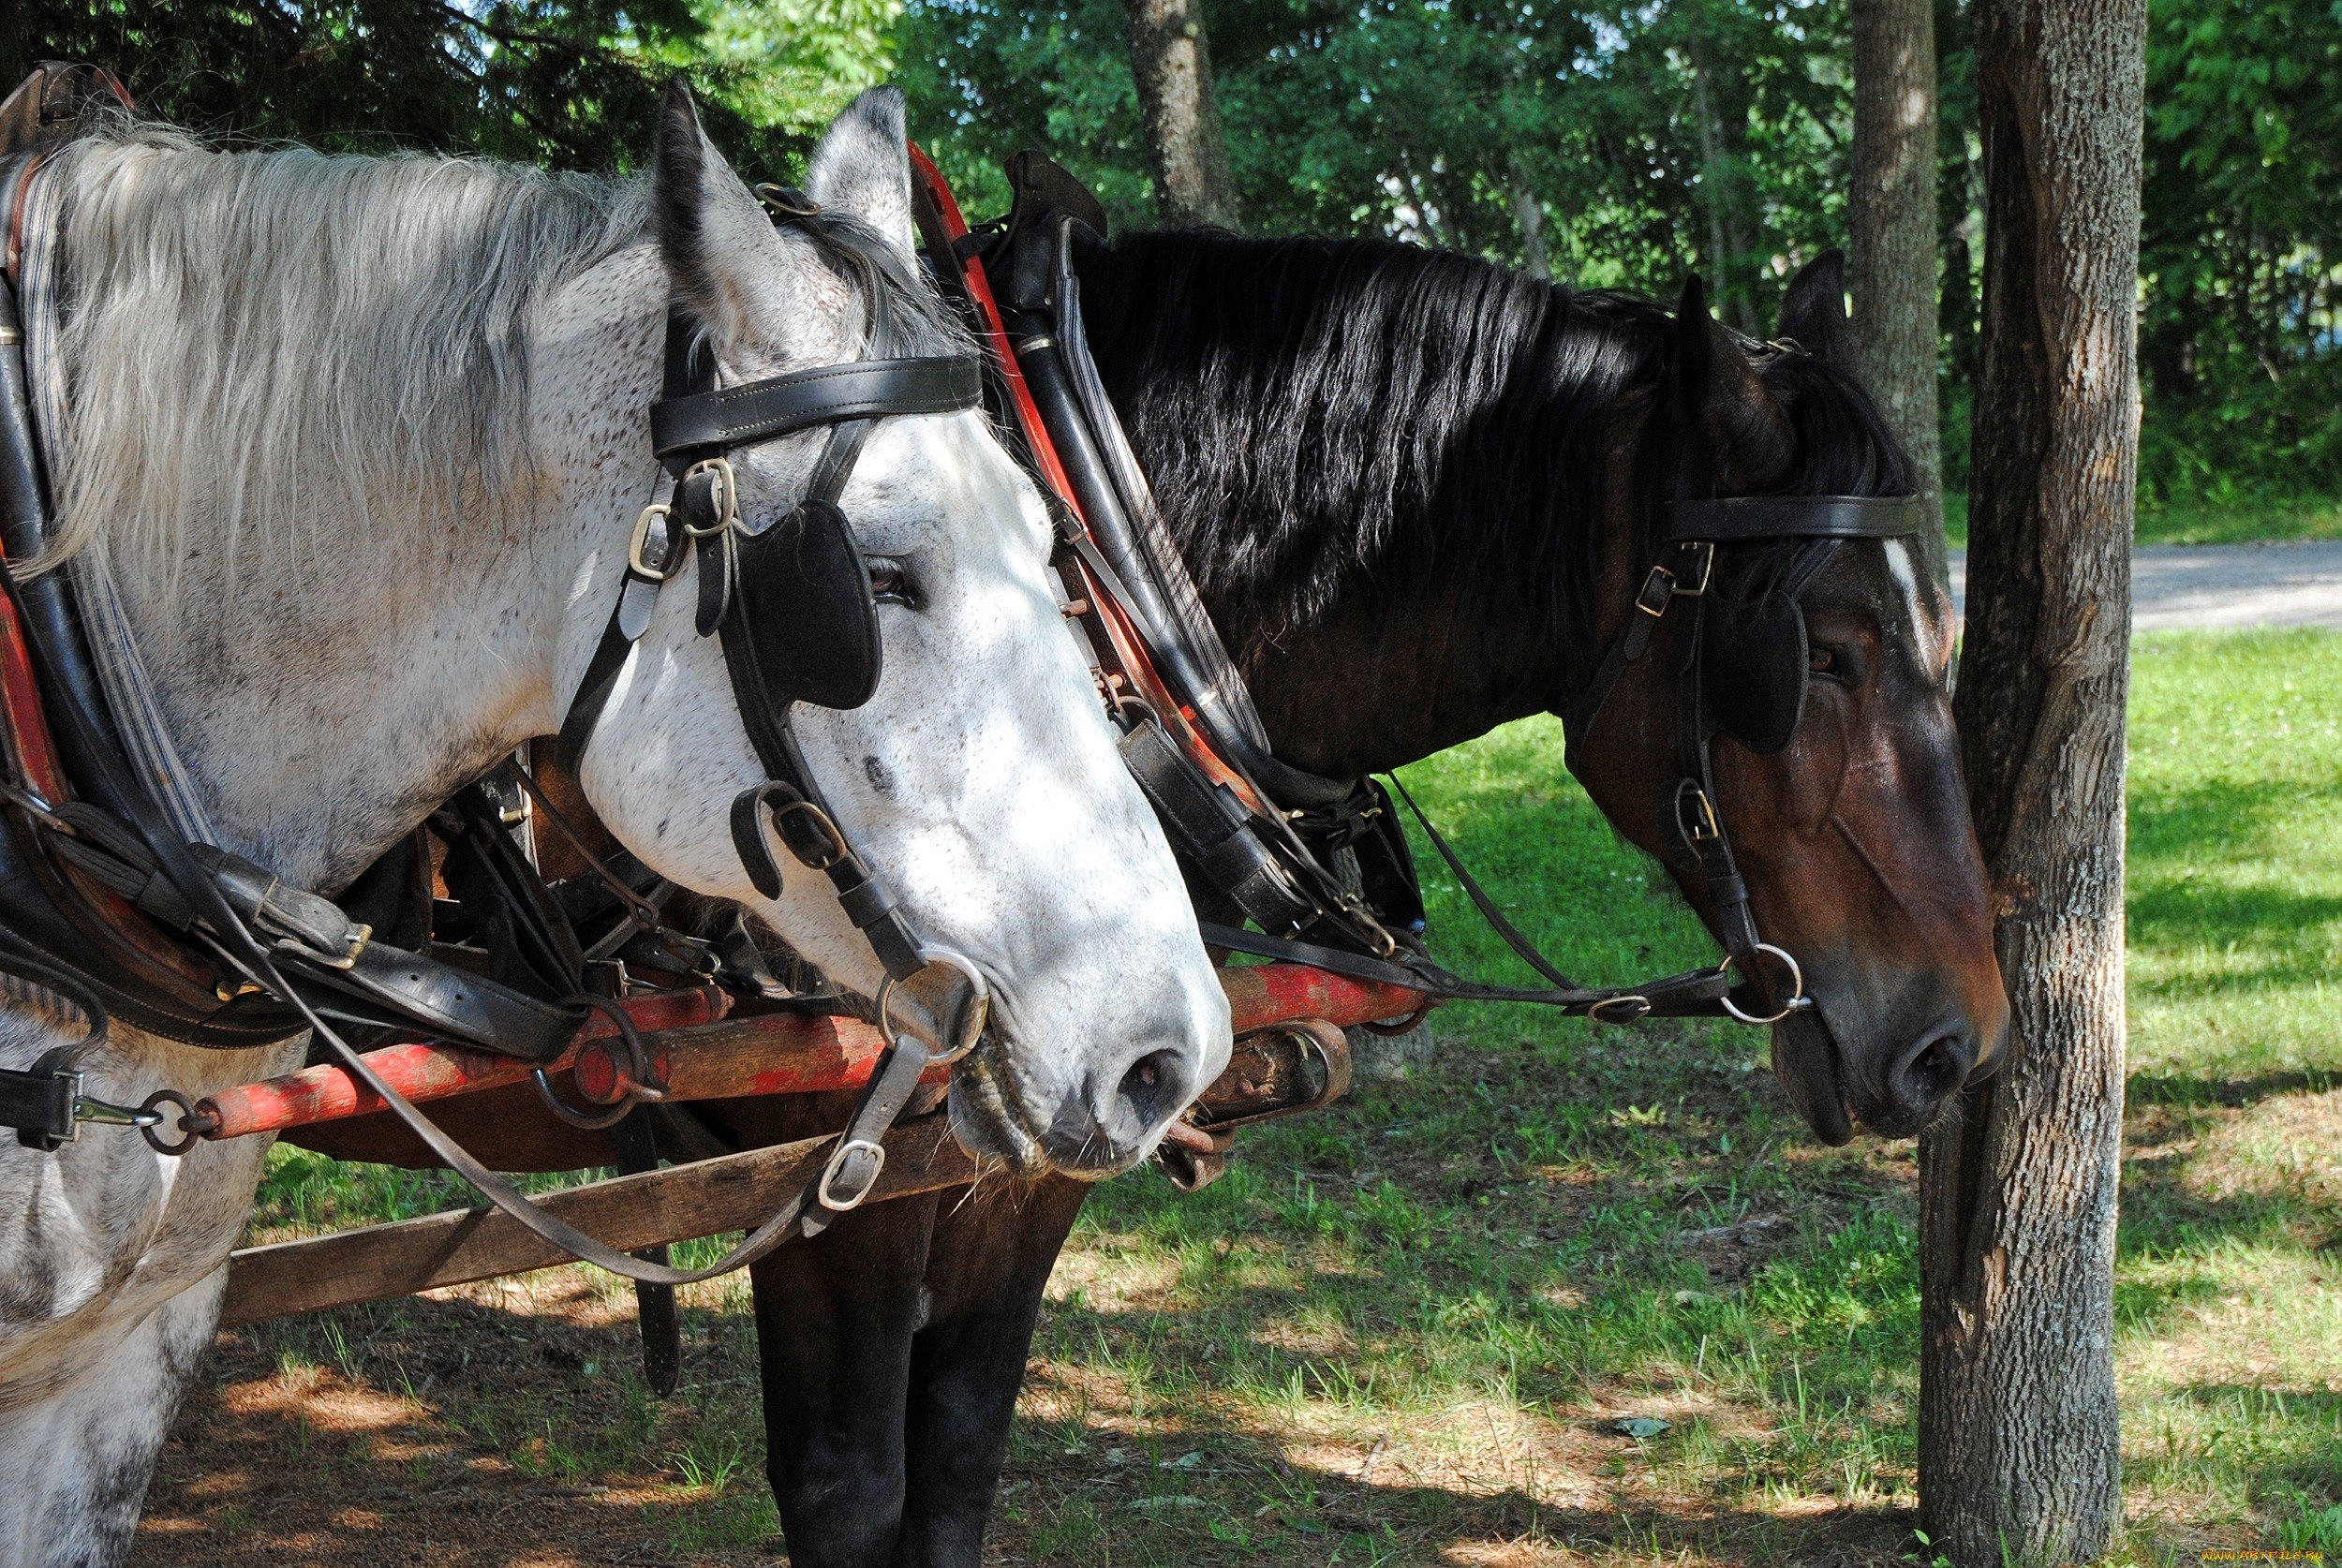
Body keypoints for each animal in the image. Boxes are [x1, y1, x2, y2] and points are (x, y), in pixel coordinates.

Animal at [670, 236, 2005, 1568]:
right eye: (1818, 654)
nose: (1963, 1043)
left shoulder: (1051, 1143)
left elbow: (955, 1451)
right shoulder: (836, 1173)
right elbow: (850, 1485)